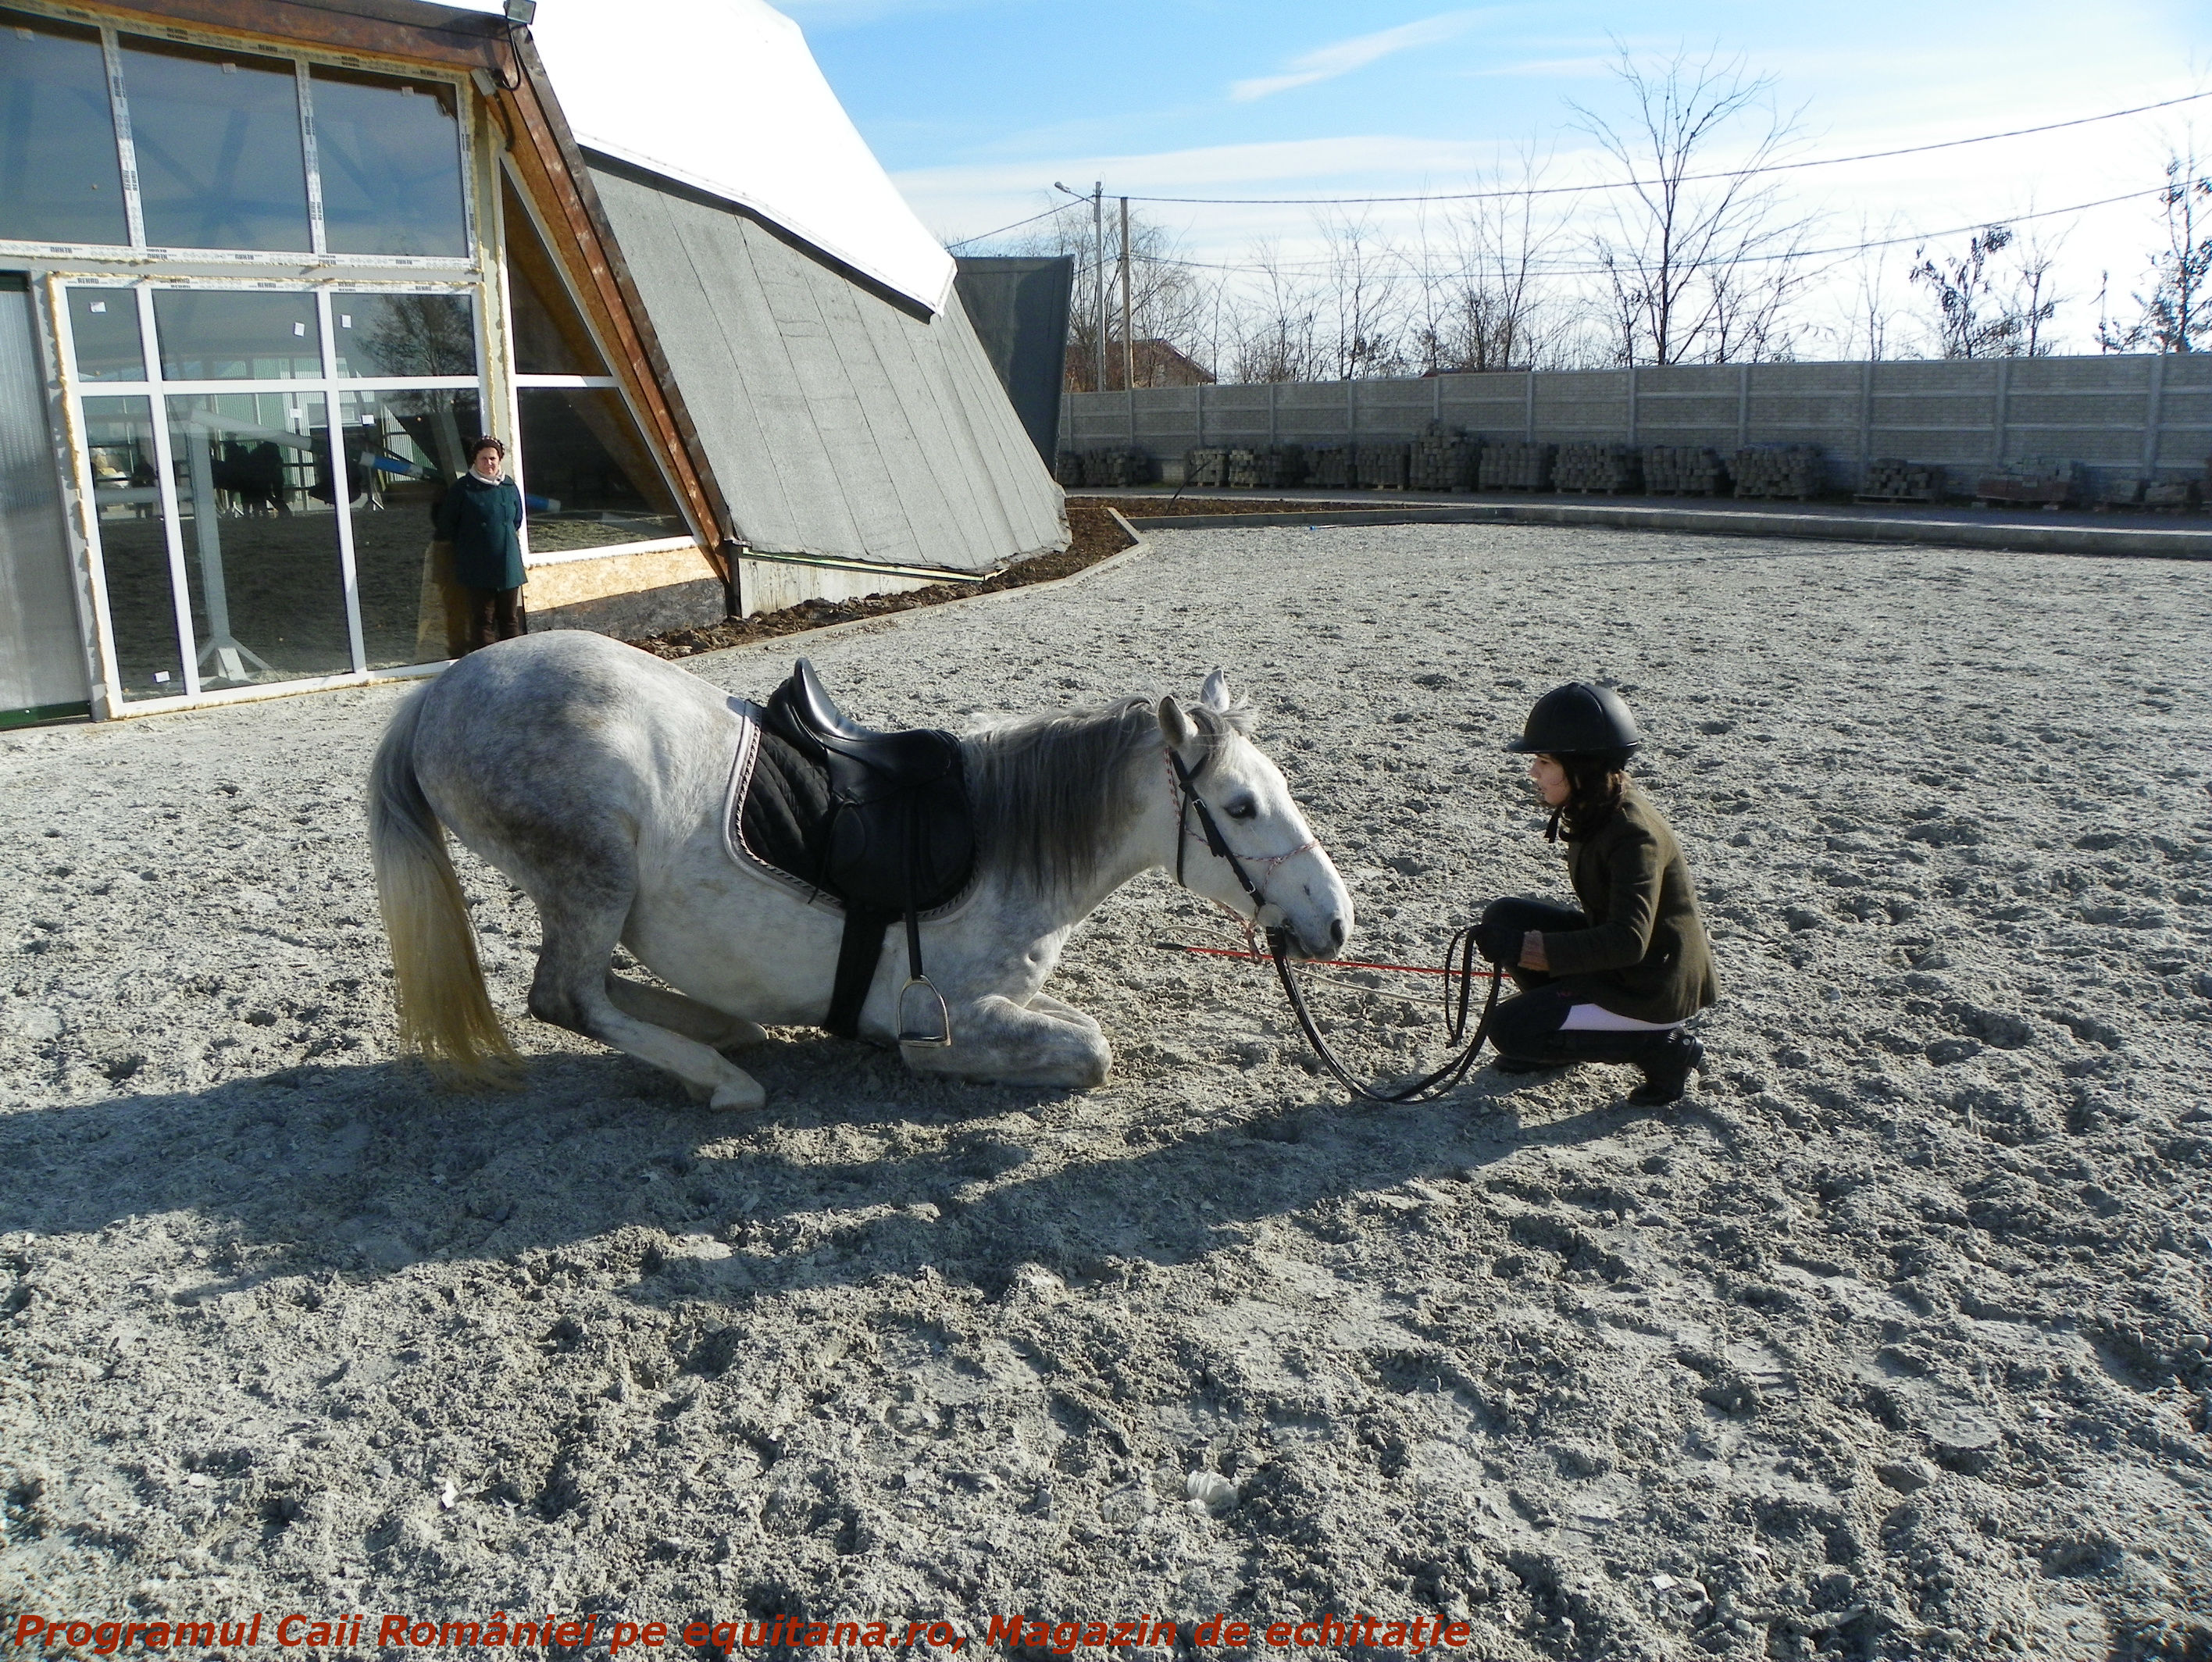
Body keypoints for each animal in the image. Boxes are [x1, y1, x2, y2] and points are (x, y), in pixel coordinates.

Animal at [367, 628, 1344, 1111]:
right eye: (1241, 807)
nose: (1336, 921)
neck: (1009, 841)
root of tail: (440, 691)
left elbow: (1082, 1028)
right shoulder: (954, 1019)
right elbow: (1089, 1049)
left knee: (601, 985)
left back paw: (722, 1034)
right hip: (590, 871)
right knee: (565, 996)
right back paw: (720, 1077)